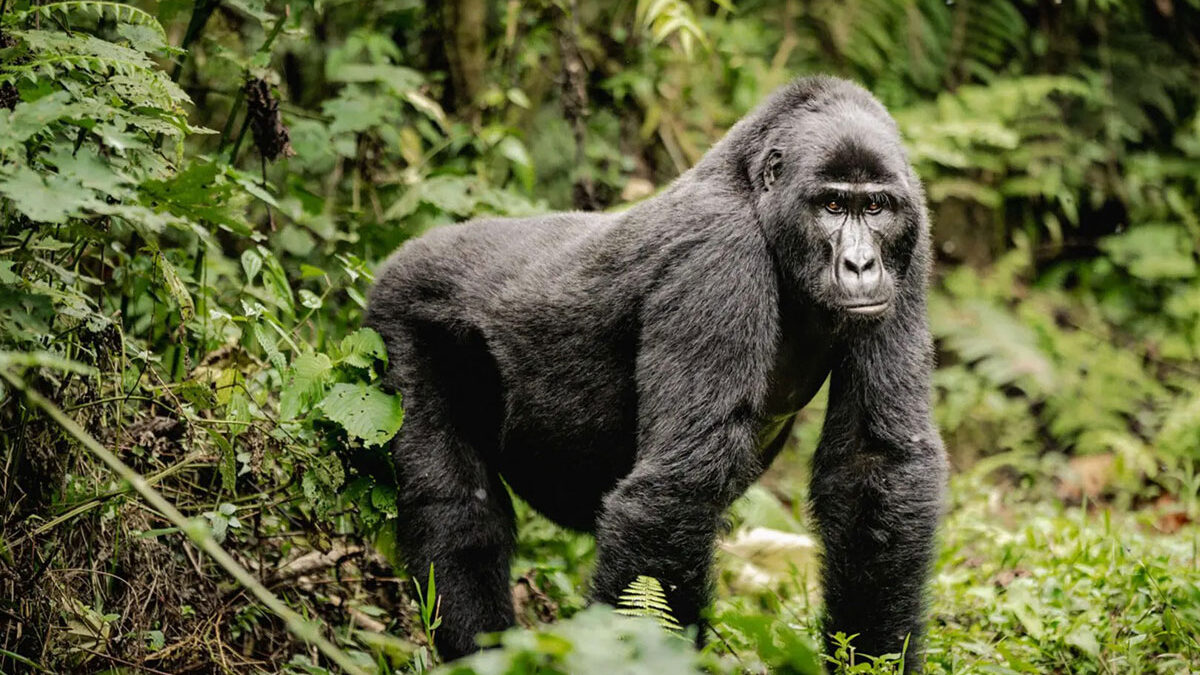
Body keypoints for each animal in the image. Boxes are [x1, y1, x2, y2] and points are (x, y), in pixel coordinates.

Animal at [365, 75, 947, 669]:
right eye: (832, 204)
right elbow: (679, 486)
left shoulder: (911, 244)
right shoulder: (718, 256)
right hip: (400, 314)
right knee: (456, 510)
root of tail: (402, 255)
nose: (861, 264)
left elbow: (874, 464)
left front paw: (872, 661)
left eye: (875, 207)